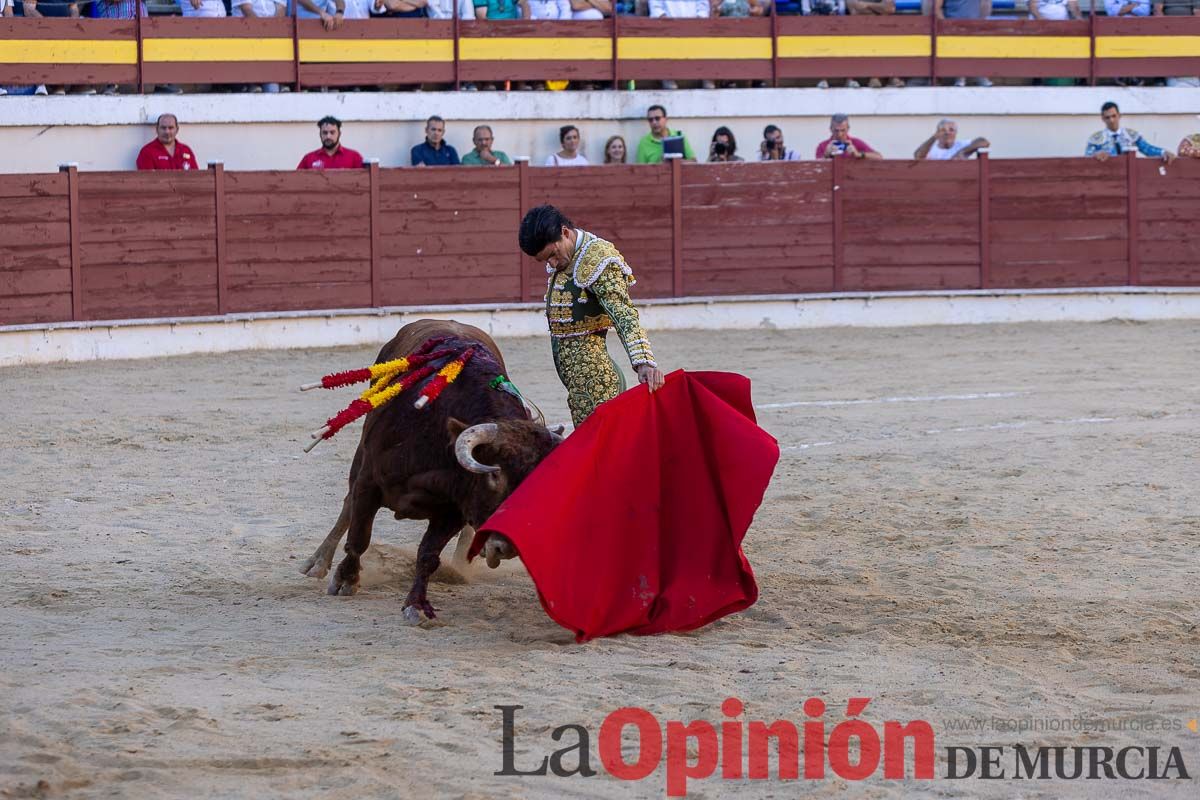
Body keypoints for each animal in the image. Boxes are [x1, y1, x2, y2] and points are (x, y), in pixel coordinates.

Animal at [300, 321, 561, 623]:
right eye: (494, 476)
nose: (505, 548)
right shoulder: (369, 482)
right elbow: (359, 536)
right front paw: (345, 580)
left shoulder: (454, 510)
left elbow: (427, 555)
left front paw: (415, 605)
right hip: (361, 453)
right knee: (348, 504)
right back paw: (318, 562)